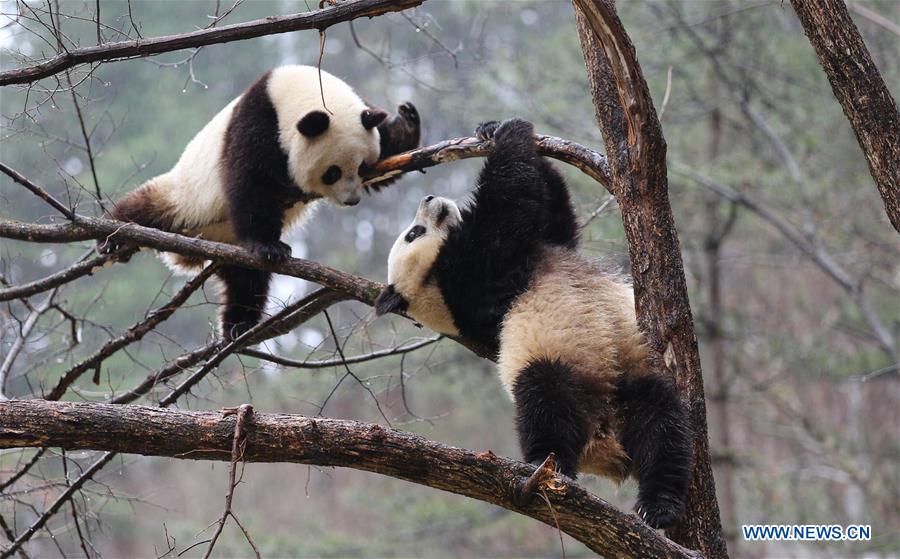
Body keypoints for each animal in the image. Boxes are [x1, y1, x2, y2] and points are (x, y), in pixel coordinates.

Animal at [98, 65, 420, 339]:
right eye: (333, 172)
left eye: (363, 167)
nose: (352, 200)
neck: (289, 91)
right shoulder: (257, 125)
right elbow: (249, 184)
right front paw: (270, 246)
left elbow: (389, 154)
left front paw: (407, 121)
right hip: (186, 197)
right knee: (147, 206)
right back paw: (113, 237)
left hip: (230, 246)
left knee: (246, 280)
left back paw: (238, 325)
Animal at [374, 118, 692, 529]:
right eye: (413, 233)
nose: (429, 199)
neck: (431, 289)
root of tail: (604, 436)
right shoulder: (469, 286)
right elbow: (508, 215)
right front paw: (511, 134)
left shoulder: (540, 249)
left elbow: (556, 217)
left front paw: (490, 129)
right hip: (555, 362)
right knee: (546, 402)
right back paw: (550, 470)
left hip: (629, 378)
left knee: (661, 423)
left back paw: (659, 504)